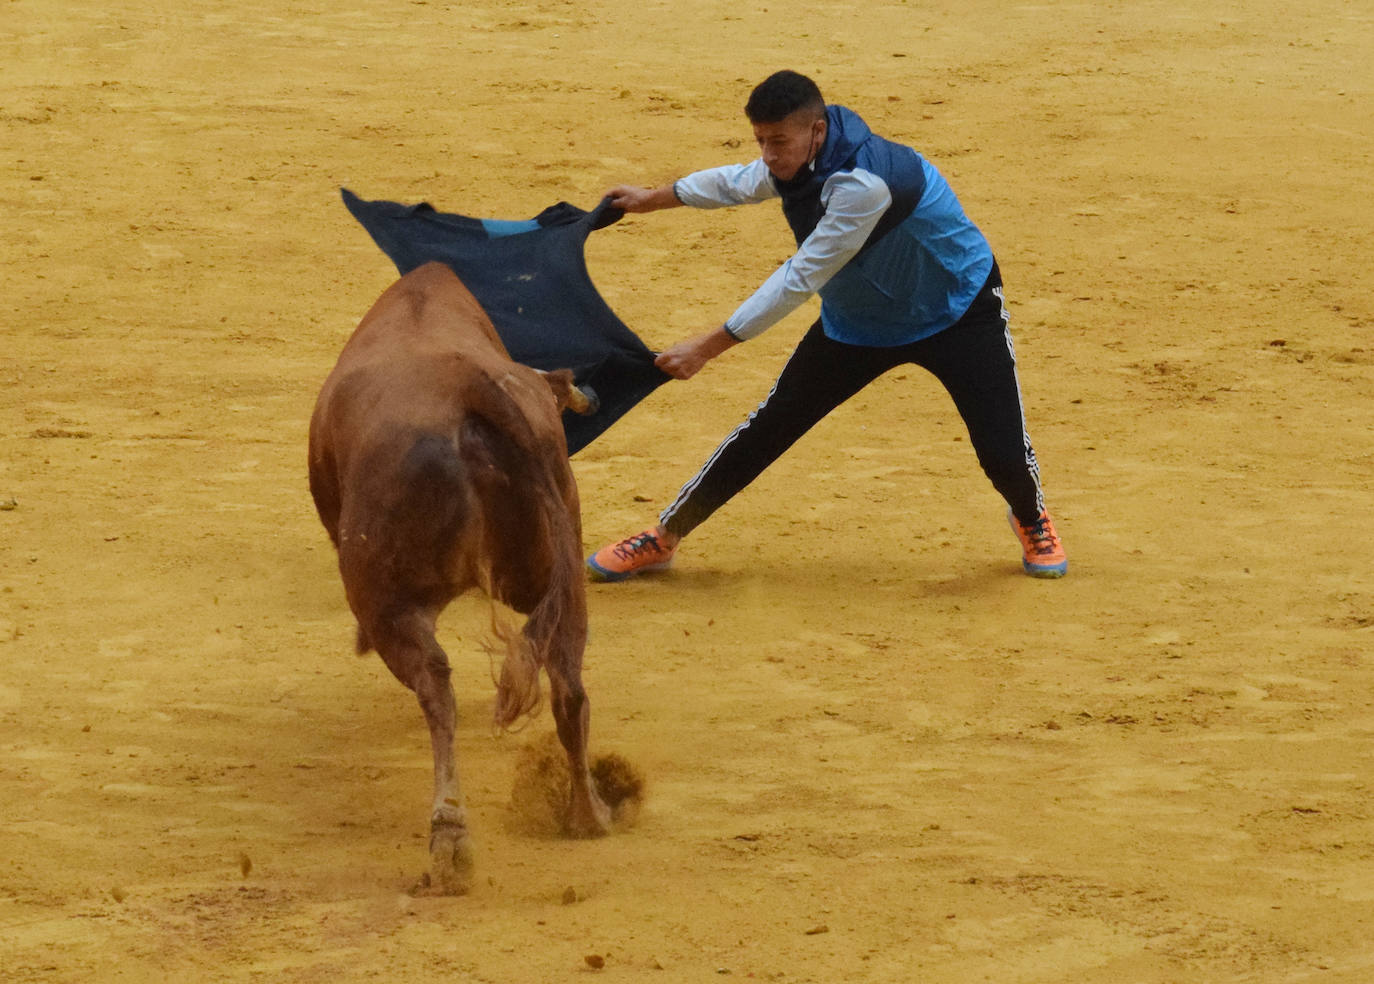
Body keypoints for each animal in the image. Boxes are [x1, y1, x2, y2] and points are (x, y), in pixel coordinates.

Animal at [314, 259, 615, 890]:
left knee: (436, 687)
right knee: (568, 684)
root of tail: (471, 392)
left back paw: (449, 838)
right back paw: (589, 813)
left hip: (391, 604)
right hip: (562, 577)